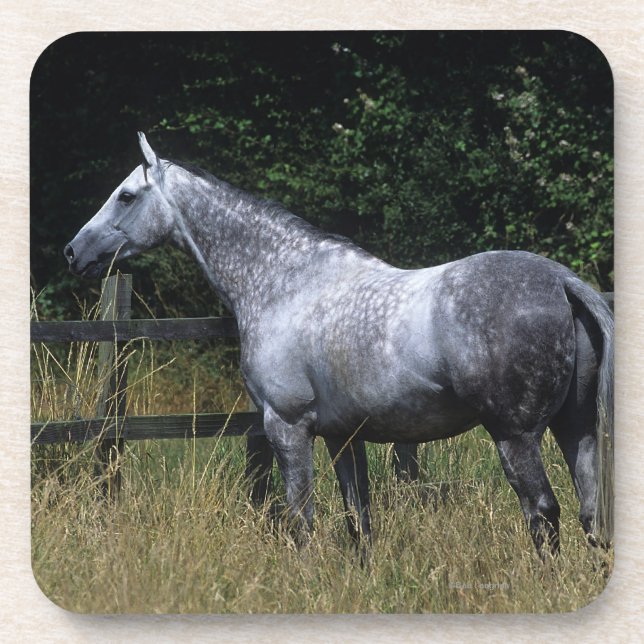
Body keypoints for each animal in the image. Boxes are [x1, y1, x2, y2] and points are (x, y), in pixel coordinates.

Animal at [64, 133, 613, 558]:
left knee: (543, 513)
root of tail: (561, 282)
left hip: (515, 436)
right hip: (576, 428)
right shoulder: (343, 437)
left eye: (126, 196)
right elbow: (358, 521)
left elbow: (301, 520)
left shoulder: (287, 427)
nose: (74, 252)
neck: (285, 283)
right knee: (590, 512)